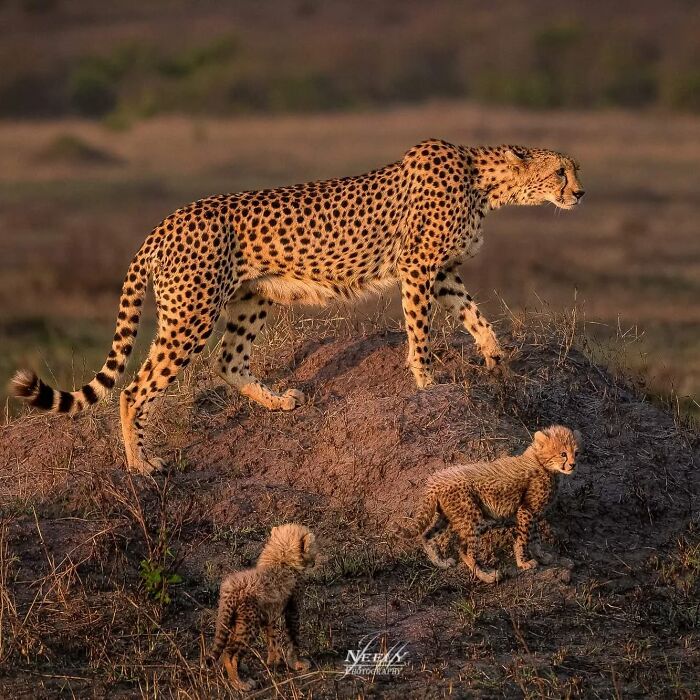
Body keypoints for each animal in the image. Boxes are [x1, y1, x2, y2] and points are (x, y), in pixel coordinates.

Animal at [9, 139, 584, 473]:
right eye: (561, 172)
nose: (580, 193)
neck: (485, 181)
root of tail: (164, 224)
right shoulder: (419, 268)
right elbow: (420, 331)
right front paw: (426, 381)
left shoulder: (442, 273)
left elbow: (476, 316)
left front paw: (496, 360)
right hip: (191, 315)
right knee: (134, 389)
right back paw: (140, 463)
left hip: (250, 297)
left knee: (228, 360)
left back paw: (275, 402)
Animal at [208, 523, 319, 691]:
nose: (314, 562)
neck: (282, 557)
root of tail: (231, 587)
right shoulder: (292, 609)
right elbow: (293, 637)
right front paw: (296, 663)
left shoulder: (270, 611)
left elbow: (271, 637)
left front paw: (274, 660)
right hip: (249, 625)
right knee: (230, 653)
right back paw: (239, 683)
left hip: (235, 621)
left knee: (228, 646)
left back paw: (238, 670)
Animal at [411, 425, 581, 583]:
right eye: (563, 454)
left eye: (576, 453)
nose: (573, 465)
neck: (541, 463)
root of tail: (436, 480)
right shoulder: (526, 510)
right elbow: (524, 538)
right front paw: (523, 562)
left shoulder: (533, 513)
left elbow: (535, 537)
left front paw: (541, 556)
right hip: (472, 517)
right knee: (465, 550)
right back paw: (488, 576)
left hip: (447, 516)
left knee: (427, 535)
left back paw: (441, 562)